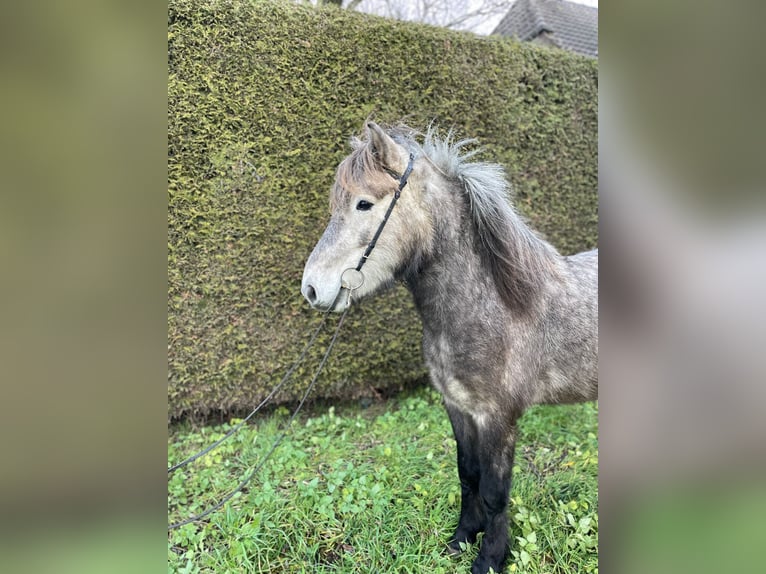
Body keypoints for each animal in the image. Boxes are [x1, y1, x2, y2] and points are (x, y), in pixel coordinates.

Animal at [300, 122, 600, 574]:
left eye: (364, 204)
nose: (312, 288)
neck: (494, 305)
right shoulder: (458, 408)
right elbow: (467, 474)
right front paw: (462, 538)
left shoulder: (497, 417)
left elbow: (494, 489)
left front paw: (490, 557)